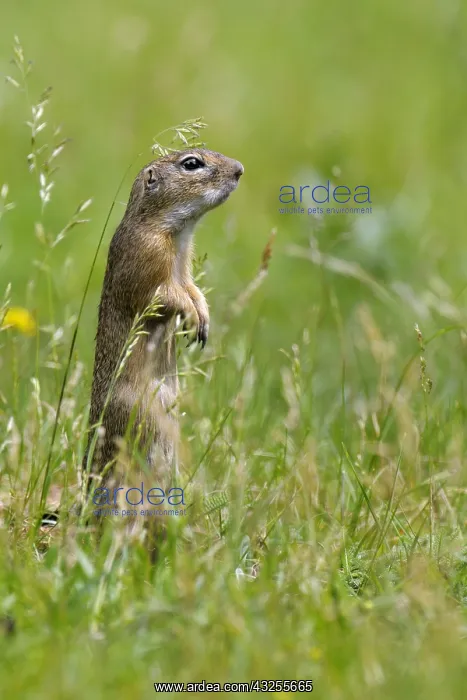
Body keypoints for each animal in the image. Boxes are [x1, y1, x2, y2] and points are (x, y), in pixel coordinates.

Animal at [84, 148, 243, 499]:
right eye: (191, 163)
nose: (240, 169)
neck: (177, 233)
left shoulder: (185, 270)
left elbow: (193, 290)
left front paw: (203, 319)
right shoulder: (149, 258)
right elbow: (166, 296)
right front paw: (193, 319)